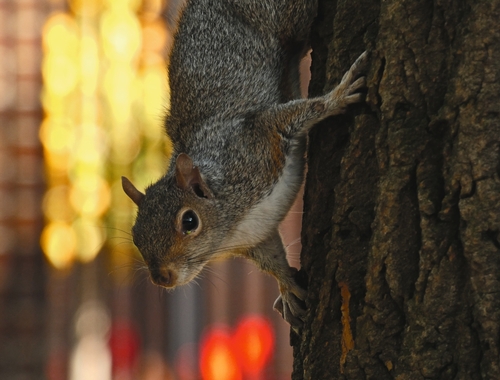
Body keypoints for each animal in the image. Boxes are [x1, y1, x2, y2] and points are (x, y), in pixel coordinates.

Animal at [123, 0, 370, 330]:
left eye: (189, 222)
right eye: (135, 235)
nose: (162, 278)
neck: (231, 226)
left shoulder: (256, 141)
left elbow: (301, 112)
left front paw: (337, 97)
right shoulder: (258, 235)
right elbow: (273, 259)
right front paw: (288, 289)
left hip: (284, 18)